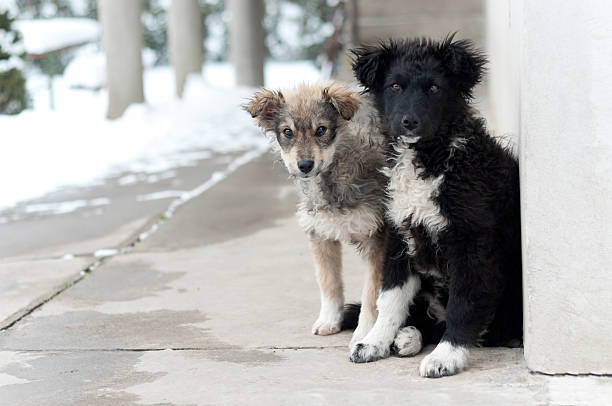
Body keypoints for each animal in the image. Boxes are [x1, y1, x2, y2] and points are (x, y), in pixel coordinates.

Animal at [350, 35, 520, 378]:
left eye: (434, 88)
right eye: (395, 86)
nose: (409, 122)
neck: (430, 159)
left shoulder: (473, 244)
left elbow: (464, 304)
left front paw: (447, 356)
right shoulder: (400, 237)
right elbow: (390, 298)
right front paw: (374, 341)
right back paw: (406, 337)